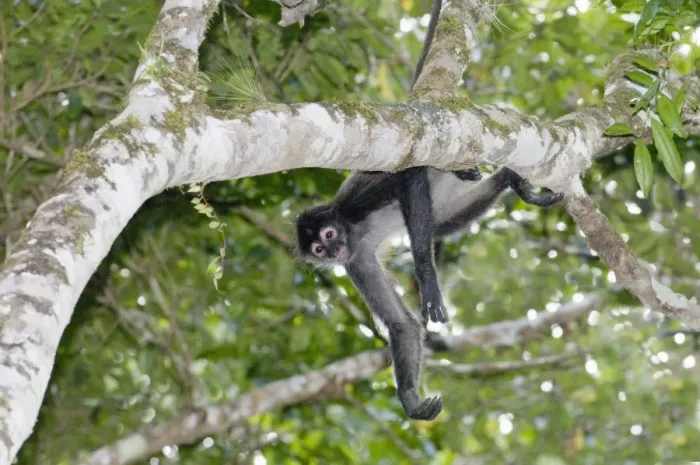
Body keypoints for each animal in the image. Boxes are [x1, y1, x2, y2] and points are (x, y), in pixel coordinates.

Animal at [295, 1, 563, 421]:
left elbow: (409, 175)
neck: (354, 231)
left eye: (329, 234)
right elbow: (401, 325)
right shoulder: (355, 262)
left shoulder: (353, 207)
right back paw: (509, 179)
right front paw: (409, 398)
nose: (333, 248)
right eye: (320, 249)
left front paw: (427, 279)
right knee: (439, 224)